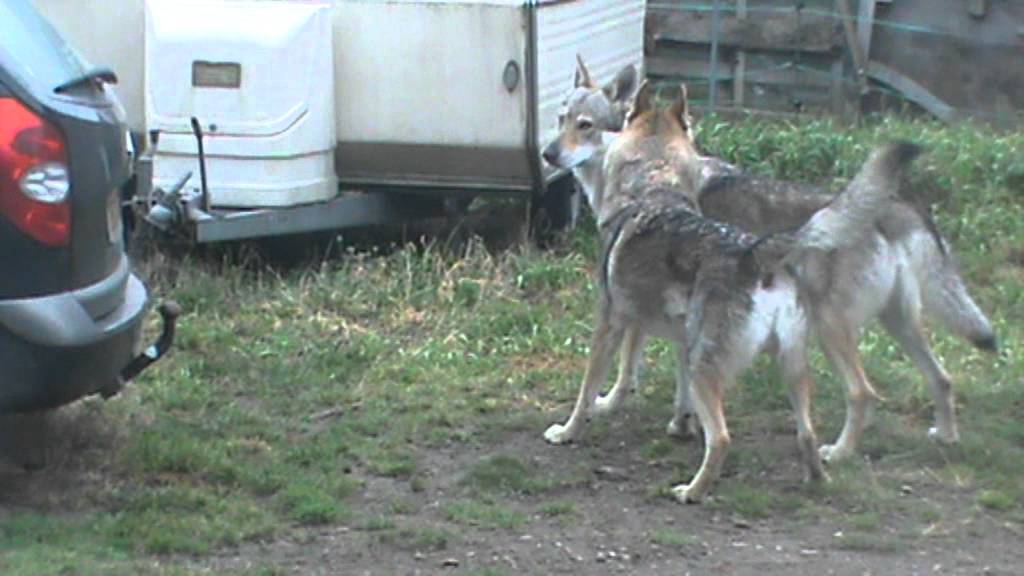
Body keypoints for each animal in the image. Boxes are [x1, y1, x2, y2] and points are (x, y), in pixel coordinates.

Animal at [542, 57, 996, 461]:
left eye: (586, 125)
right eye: (561, 119)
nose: (547, 154)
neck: (649, 179)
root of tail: (897, 207)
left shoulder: (629, 306)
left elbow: (622, 367)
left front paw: (603, 406)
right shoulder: (666, 313)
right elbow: (662, 372)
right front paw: (677, 419)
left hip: (831, 327)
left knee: (863, 392)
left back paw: (839, 453)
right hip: (897, 323)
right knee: (942, 377)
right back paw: (946, 436)